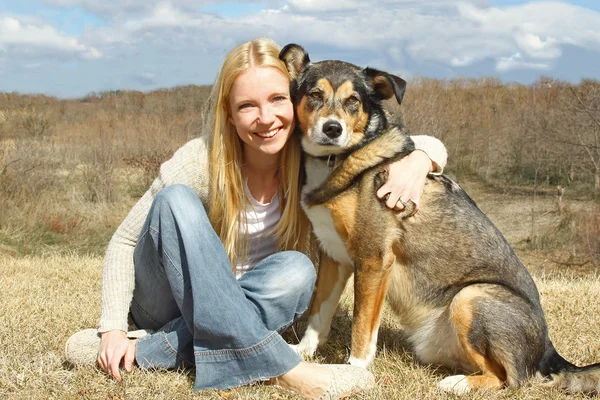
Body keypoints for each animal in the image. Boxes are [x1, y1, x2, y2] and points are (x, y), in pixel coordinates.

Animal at [280, 43, 600, 394]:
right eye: (314, 94)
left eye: (353, 100)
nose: (332, 129)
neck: (340, 159)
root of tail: (548, 351)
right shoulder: (334, 258)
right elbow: (318, 314)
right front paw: (303, 352)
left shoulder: (373, 260)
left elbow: (362, 328)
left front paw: (355, 372)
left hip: (471, 296)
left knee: (510, 380)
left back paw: (457, 384)